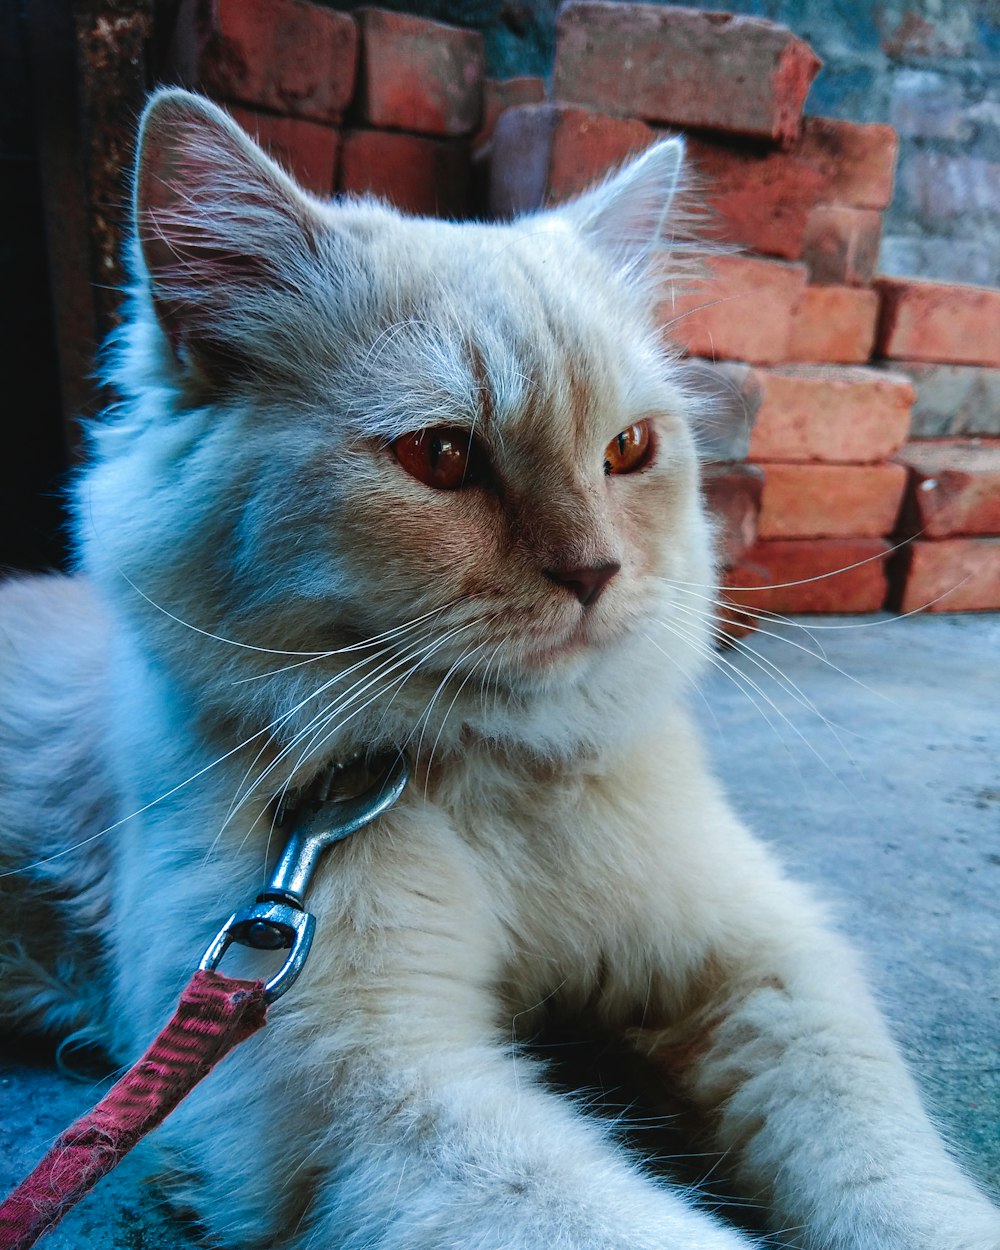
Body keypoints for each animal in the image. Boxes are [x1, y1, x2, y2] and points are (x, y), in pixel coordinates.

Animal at [1, 90, 1000, 1250]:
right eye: (439, 457)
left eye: (627, 451)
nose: (596, 573)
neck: (501, 776)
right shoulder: (355, 1078)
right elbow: (637, 1226)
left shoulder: (759, 956)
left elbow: (887, 1167)